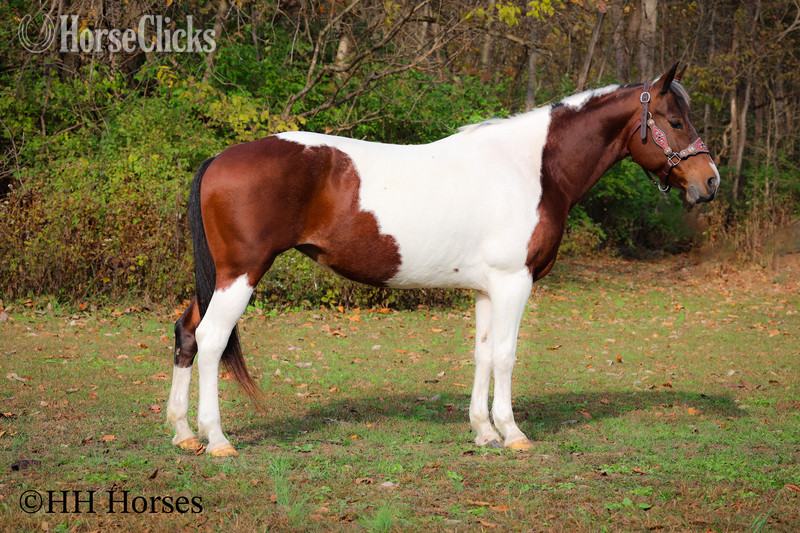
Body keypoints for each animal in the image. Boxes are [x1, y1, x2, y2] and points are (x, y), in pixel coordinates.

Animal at [166, 63, 719, 456]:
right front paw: (513, 434)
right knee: (211, 340)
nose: (709, 181)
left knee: (187, 332)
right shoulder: (514, 283)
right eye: (674, 120)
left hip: (219, 279)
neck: (533, 168)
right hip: (241, 275)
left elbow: (482, 353)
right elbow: (506, 355)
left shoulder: (487, 289)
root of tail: (218, 159)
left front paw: (484, 432)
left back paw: (183, 433)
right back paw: (217, 440)